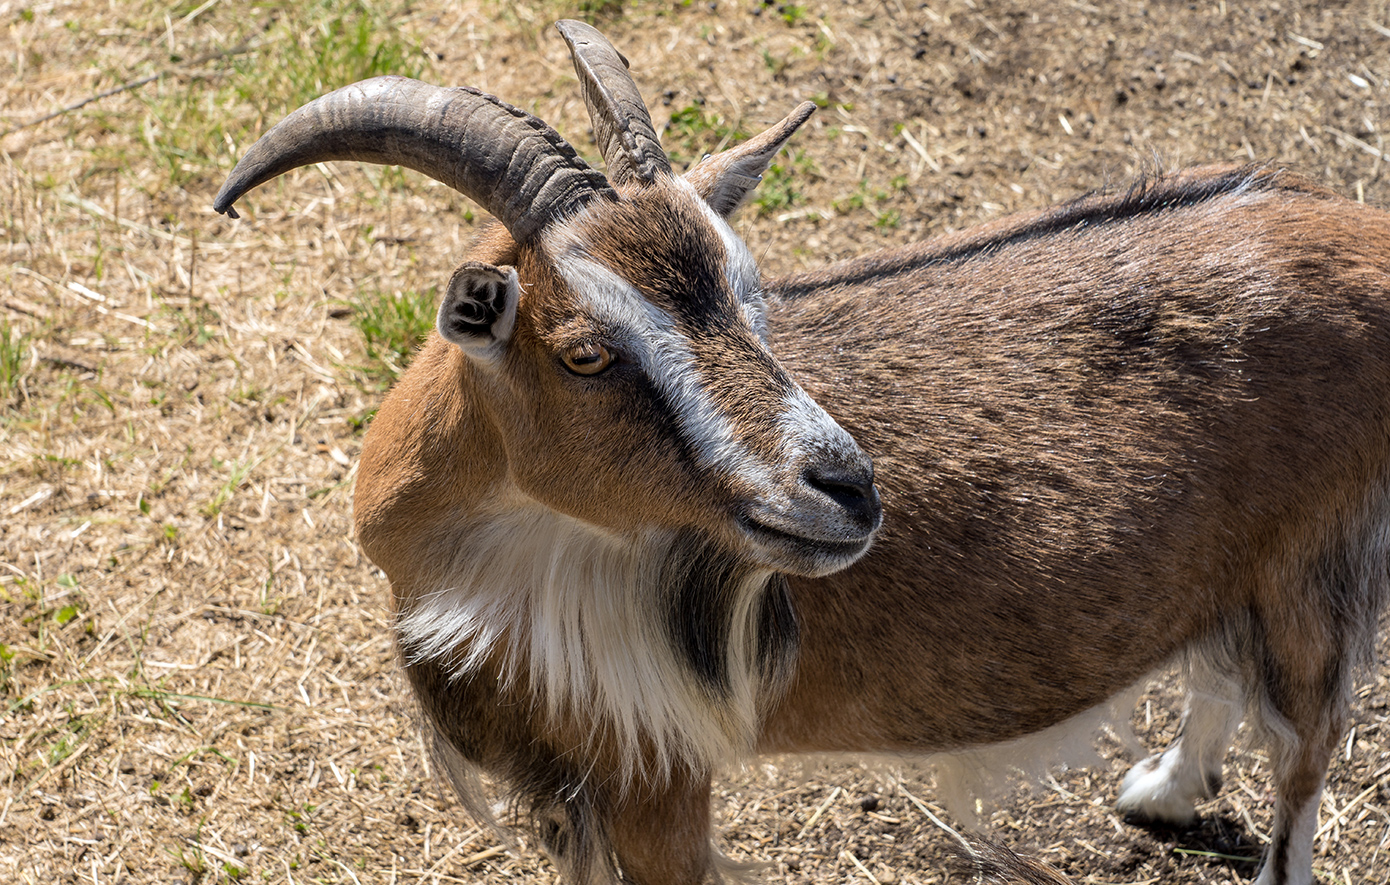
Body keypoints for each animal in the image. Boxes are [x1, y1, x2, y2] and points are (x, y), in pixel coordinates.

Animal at [214, 19, 1390, 883]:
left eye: (753, 295)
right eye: (585, 352)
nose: (848, 489)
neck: (469, 552)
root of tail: (1362, 240)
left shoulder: (656, 775)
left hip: (1320, 564)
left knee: (1304, 756)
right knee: (1219, 664)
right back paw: (1164, 790)